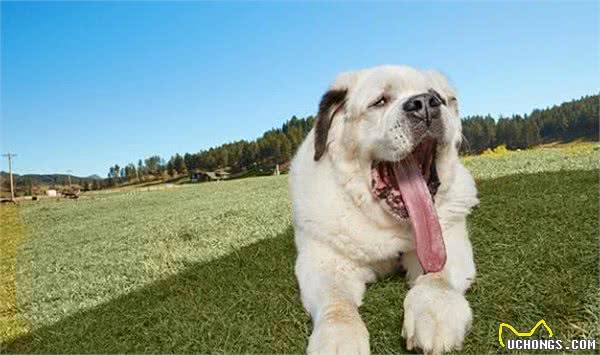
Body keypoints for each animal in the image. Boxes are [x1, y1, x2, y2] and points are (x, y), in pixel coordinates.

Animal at [290, 65, 478, 354]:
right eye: (380, 102)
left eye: (437, 97)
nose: (425, 103)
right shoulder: (323, 261)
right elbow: (336, 300)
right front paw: (339, 337)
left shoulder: (448, 238)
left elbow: (438, 275)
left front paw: (435, 312)